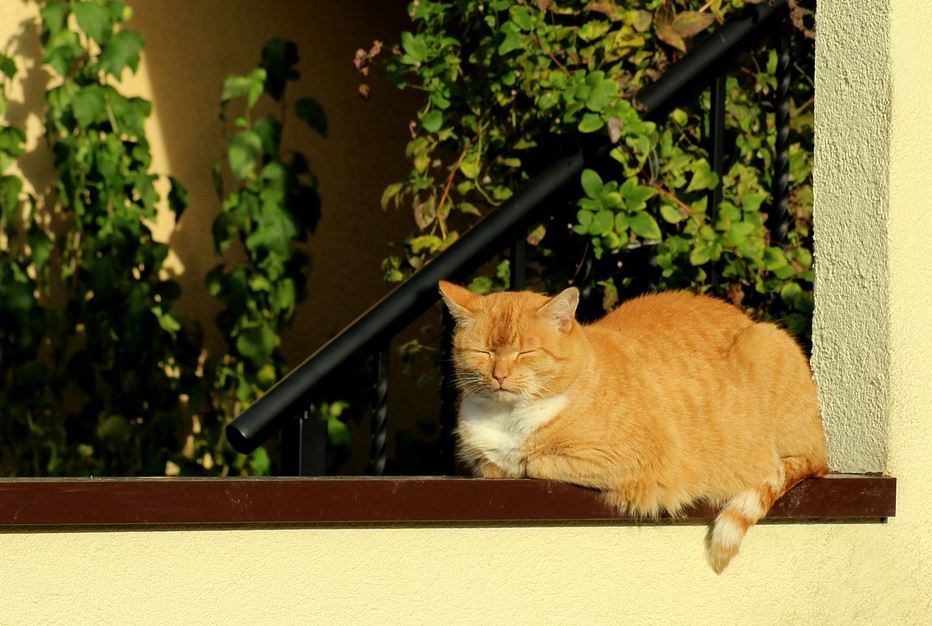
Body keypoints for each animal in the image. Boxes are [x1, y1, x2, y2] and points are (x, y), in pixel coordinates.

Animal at [438, 280, 832, 572]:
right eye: (484, 353)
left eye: (525, 353)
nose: (500, 375)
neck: (509, 416)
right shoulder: (480, 460)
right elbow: (493, 464)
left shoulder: (638, 459)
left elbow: (533, 462)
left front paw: (521, 461)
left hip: (768, 346)